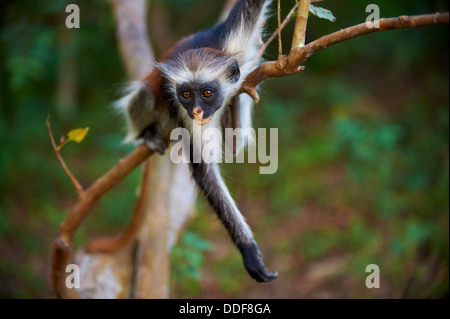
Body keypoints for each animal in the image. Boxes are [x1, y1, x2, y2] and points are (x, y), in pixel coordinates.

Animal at [115, 0, 278, 282]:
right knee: (145, 94)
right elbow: (203, 170)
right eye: (187, 95)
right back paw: (147, 134)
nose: (198, 111)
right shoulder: (181, 109)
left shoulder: (232, 42)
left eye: (207, 93)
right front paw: (247, 250)